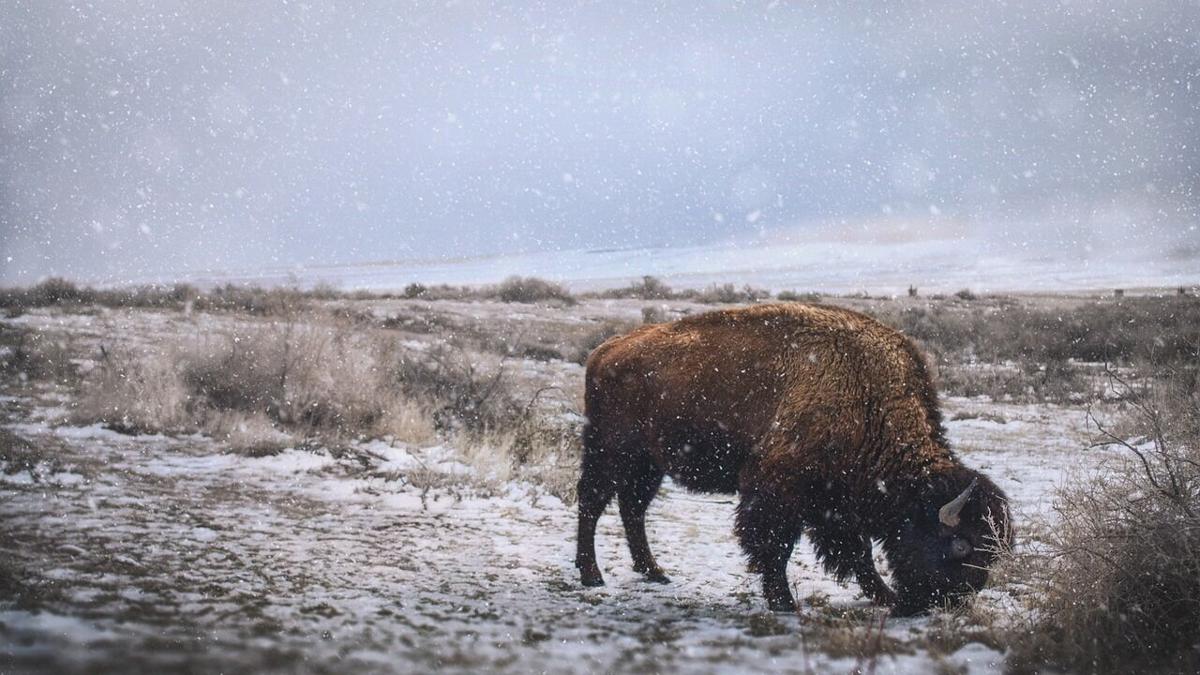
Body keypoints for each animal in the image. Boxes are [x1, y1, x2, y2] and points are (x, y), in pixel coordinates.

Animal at [575, 303, 1012, 615]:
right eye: (961, 546)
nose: (949, 605)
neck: (867, 398)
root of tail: (604, 351)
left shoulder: (835, 504)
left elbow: (857, 554)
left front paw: (884, 595)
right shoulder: (779, 491)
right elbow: (776, 547)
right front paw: (784, 602)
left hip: (648, 465)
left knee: (632, 507)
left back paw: (654, 572)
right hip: (611, 453)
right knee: (593, 502)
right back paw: (592, 575)